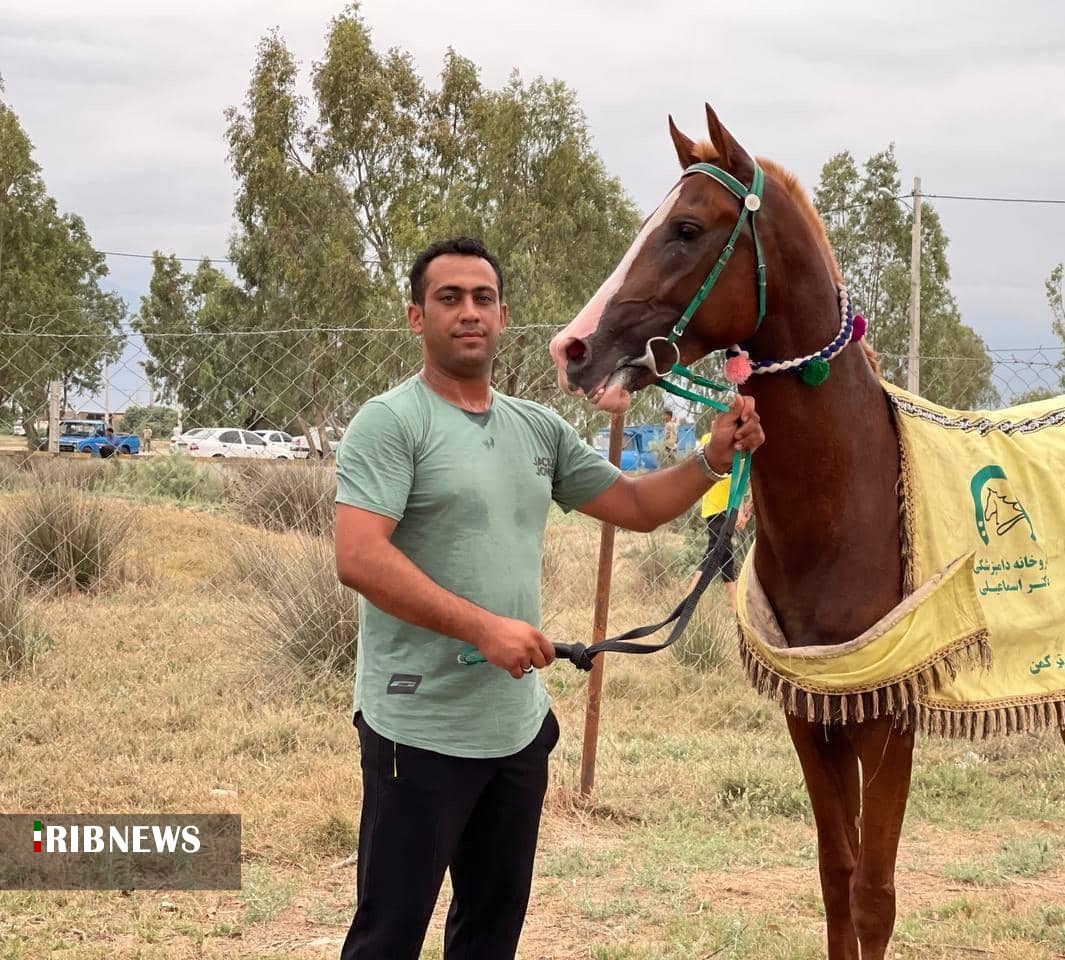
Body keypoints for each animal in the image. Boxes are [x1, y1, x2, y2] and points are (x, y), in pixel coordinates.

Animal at [549, 104, 1065, 958]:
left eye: (686, 228)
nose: (572, 348)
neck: (851, 505)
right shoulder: (813, 714)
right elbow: (834, 878)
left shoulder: (885, 719)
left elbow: (873, 896)